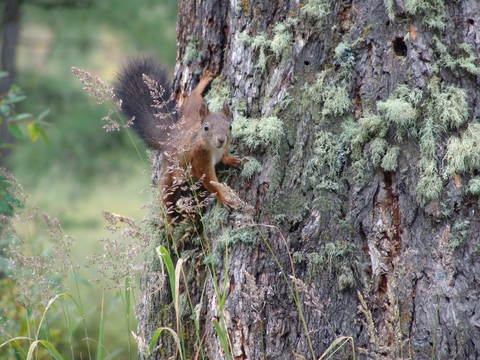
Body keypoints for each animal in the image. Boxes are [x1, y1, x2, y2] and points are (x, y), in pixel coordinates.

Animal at [115, 58, 242, 221]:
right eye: (206, 128)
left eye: (230, 126)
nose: (221, 140)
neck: (213, 149)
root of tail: (171, 138)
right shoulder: (199, 159)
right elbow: (210, 182)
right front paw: (224, 198)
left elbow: (225, 156)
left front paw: (230, 159)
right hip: (171, 173)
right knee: (165, 195)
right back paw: (168, 219)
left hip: (190, 114)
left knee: (193, 98)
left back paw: (203, 82)